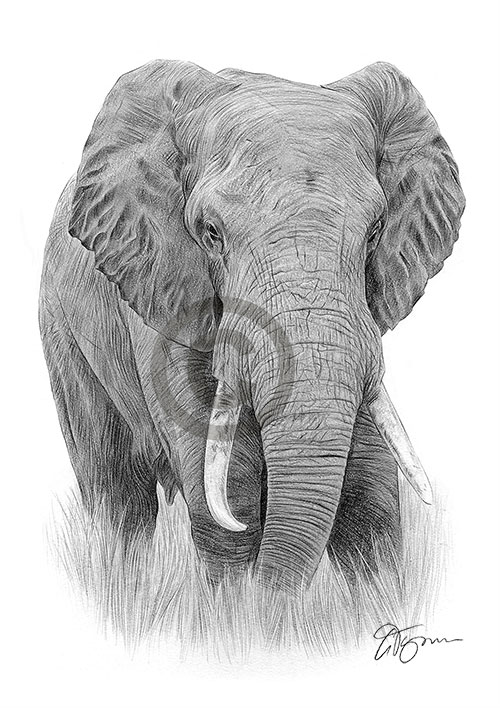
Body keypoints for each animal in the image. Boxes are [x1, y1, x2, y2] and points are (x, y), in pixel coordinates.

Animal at [39, 60, 464, 594]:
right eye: (211, 234)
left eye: (375, 231)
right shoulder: (166, 293)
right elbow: (228, 492)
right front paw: (242, 609)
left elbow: (370, 490)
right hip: (61, 329)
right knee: (116, 494)